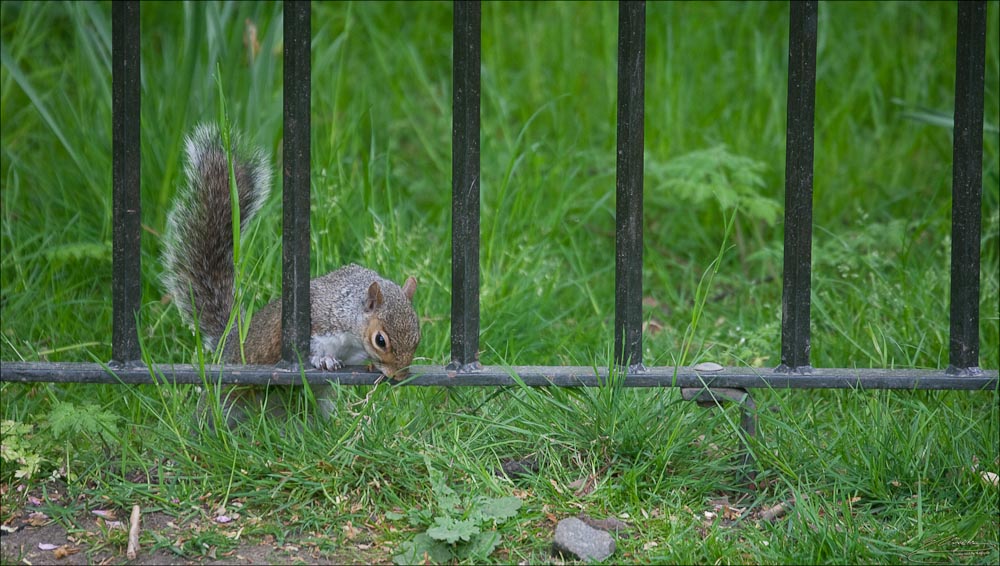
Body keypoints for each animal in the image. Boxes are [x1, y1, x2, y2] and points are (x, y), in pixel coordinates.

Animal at [162, 123, 420, 426]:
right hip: (228, 391)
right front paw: (325, 361)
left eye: (418, 336)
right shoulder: (318, 322)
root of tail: (232, 342)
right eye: (381, 340)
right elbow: (312, 351)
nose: (400, 375)